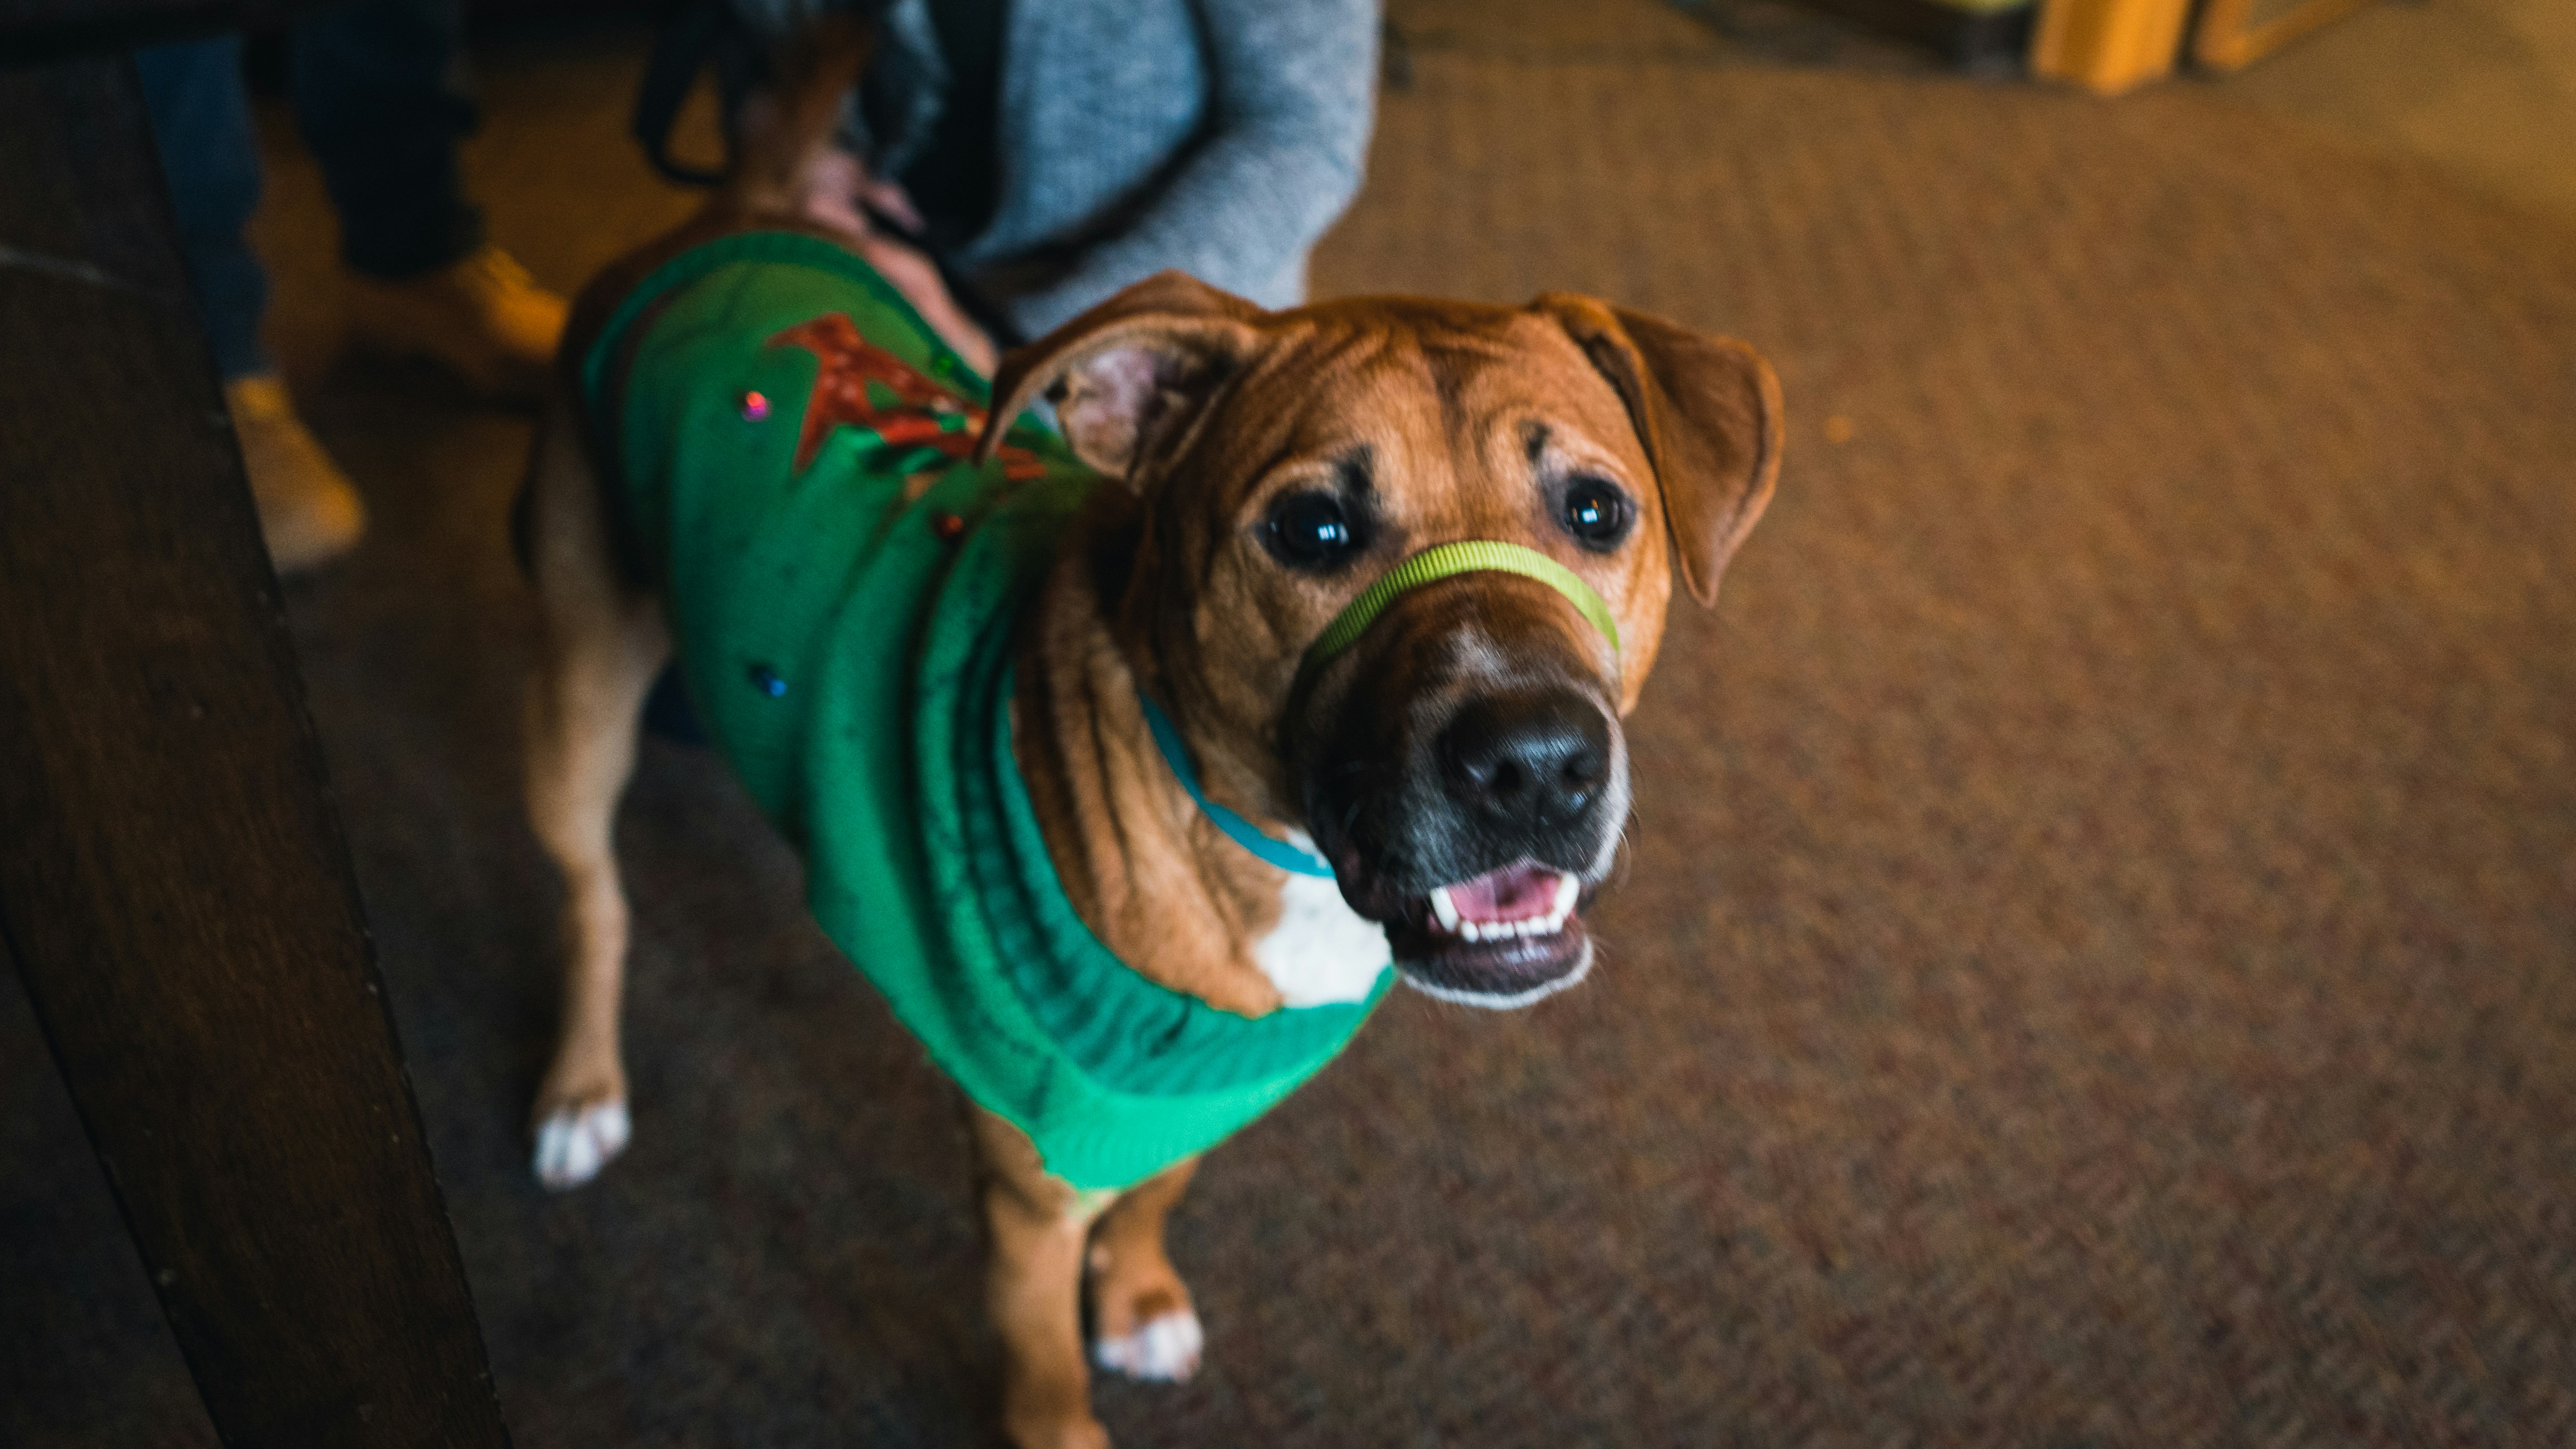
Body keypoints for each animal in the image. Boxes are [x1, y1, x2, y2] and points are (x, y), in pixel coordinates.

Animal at [518, 29, 1781, 1449]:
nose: (1533, 763)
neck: (1261, 863)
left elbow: (1158, 1193)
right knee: (593, 896)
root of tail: (733, 217)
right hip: (577, 688)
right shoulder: (1030, 1194)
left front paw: (1135, 1298)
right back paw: (579, 1090)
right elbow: (1044, 1377)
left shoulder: (1193, 1094)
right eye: (1312, 531)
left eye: (1596, 509)